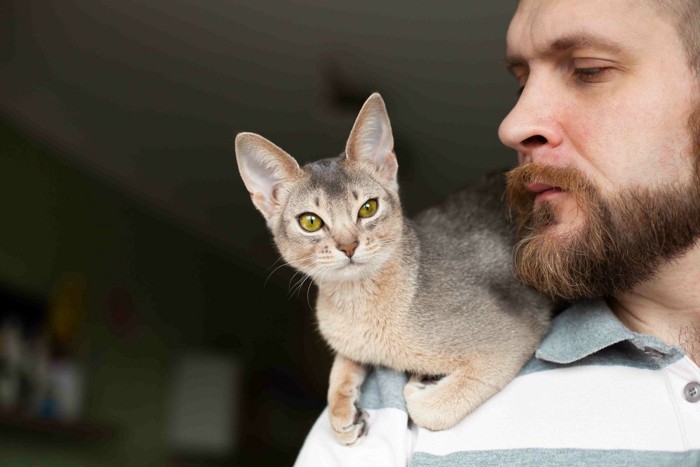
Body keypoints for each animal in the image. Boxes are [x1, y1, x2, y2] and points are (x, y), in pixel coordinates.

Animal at [235, 92, 552, 446]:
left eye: (368, 208)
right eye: (310, 222)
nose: (348, 246)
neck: (357, 308)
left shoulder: (512, 335)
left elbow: (429, 411)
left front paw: (420, 388)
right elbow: (341, 365)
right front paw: (343, 413)